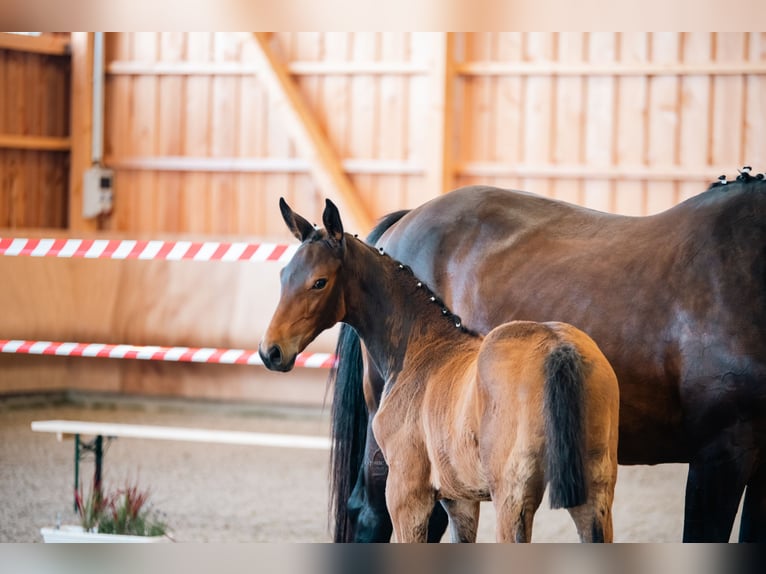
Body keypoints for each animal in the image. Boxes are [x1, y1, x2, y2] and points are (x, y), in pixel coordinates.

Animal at [259, 198, 620, 542]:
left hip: (513, 499)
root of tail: (558, 348)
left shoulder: (406, 493)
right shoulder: (459, 499)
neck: (423, 348)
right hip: (594, 495)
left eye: (319, 282)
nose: (271, 351)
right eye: (283, 275)